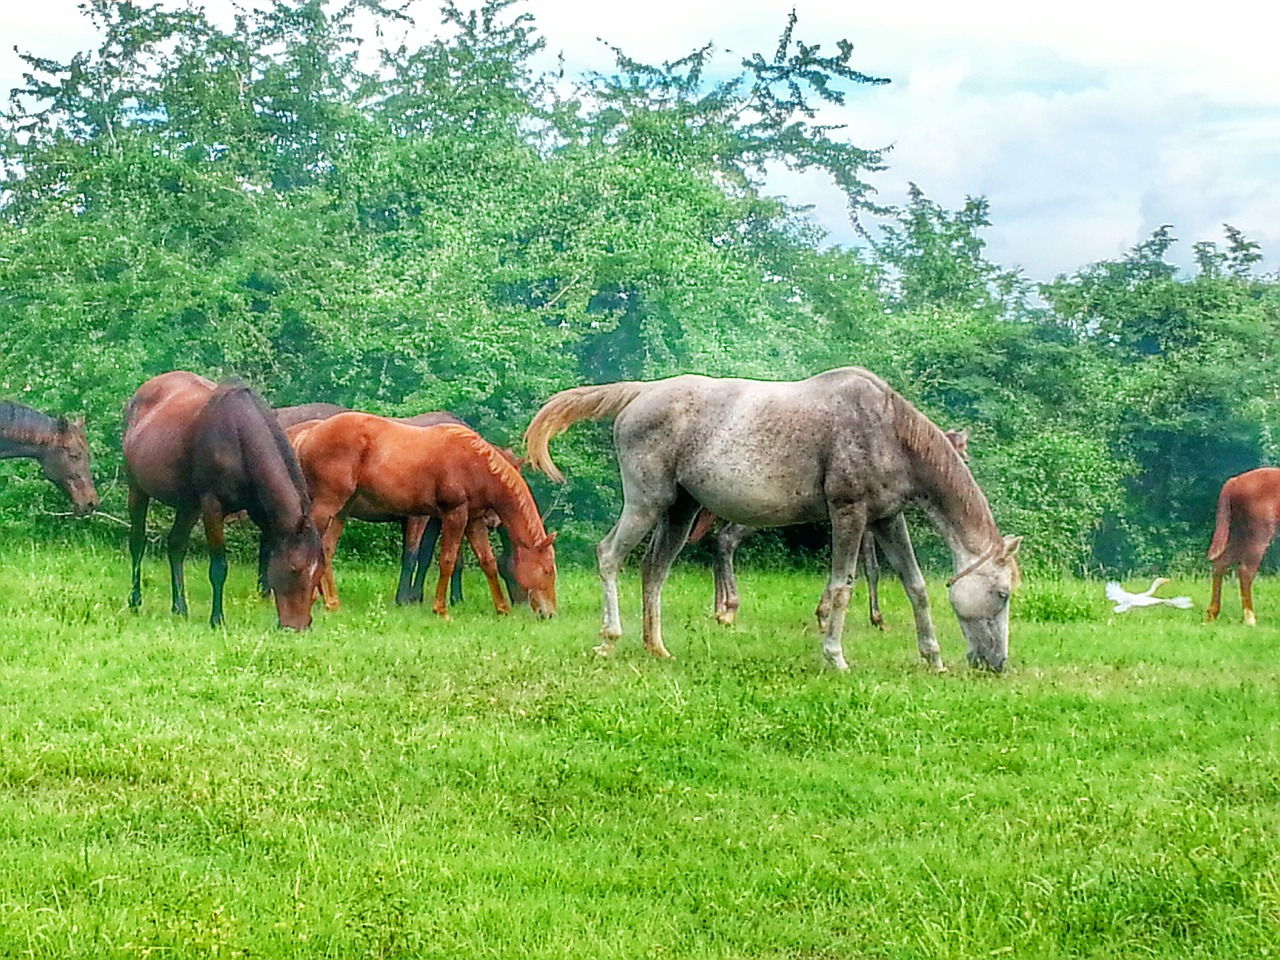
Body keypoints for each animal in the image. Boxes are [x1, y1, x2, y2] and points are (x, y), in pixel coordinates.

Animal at [122, 371, 325, 632]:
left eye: (319, 573)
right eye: (295, 570)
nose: (298, 627)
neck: (239, 437)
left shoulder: (262, 513)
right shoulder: (212, 507)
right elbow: (219, 567)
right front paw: (217, 619)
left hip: (188, 505)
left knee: (176, 545)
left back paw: (179, 607)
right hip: (137, 490)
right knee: (137, 543)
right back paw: (135, 600)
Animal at [293, 417, 558, 619]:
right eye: (547, 571)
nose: (550, 613)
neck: (476, 463)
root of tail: (307, 435)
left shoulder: (473, 520)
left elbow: (487, 562)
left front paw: (502, 608)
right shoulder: (455, 514)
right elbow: (447, 561)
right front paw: (441, 609)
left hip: (340, 512)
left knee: (327, 550)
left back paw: (332, 602)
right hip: (326, 508)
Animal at [696, 427, 972, 632]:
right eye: (961, 449)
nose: (965, 464)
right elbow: (868, 569)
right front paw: (868, 617)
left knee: (718, 542)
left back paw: (718, 606)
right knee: (726, 540)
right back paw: (729, 607)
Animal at [1203, 471, 1280, 627]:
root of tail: (1233, 482)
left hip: (1238, 531)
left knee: (1221, 563)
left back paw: (1212, 614)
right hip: (1259, 533)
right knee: (1245, 571)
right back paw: (1250, 618)